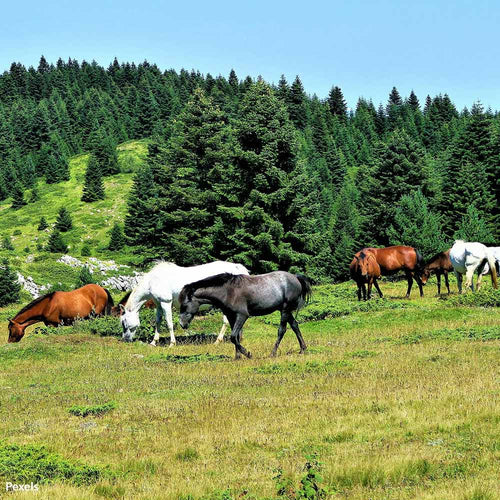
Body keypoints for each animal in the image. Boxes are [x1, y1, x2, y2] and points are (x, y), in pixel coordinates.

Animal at [117, 260, 250, 346]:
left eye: (123, 322)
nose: (126, 339)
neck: (153, 281)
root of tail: (238, 268)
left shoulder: (166, 303)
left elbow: (169, 323)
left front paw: (172, 343)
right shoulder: (159, 304)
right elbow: (158, 322)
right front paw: (154, 342)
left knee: (226, 322)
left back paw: (218, 341)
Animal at [180, 274, 312, 360]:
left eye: (185, 305)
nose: (182, 324)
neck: (228, 291)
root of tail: (296, 278)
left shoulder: (242, 316)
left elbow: (233, 337)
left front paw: (248, 354)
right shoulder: (231, 316)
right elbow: (236, 337)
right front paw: (237, 357)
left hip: (285, 310)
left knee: (282, 330)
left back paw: (273, 353)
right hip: (285, 310)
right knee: (295, 325)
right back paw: (302, 349)